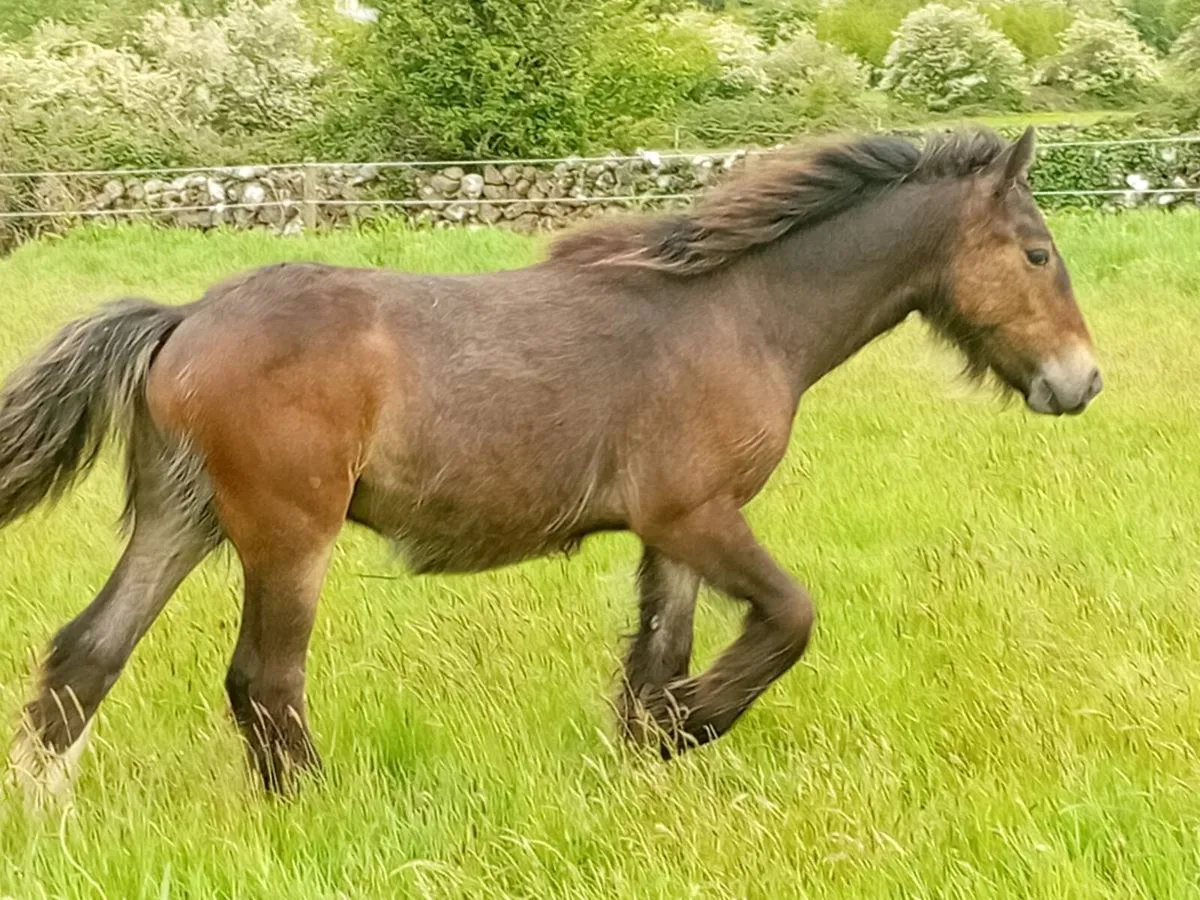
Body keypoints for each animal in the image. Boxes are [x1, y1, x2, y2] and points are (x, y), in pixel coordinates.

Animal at [0, 126, 1102, 801]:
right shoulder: (699, 515)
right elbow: (789, 619)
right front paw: (694, 724)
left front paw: (646, 758)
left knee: (86, 656)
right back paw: (312, 807)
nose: (1082, 382)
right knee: (263, 682)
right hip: (286, 535)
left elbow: (657, 657)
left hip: (183, 517)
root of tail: (184, 317)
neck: (737, 315)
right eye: (1038, 253)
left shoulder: (671, 533)